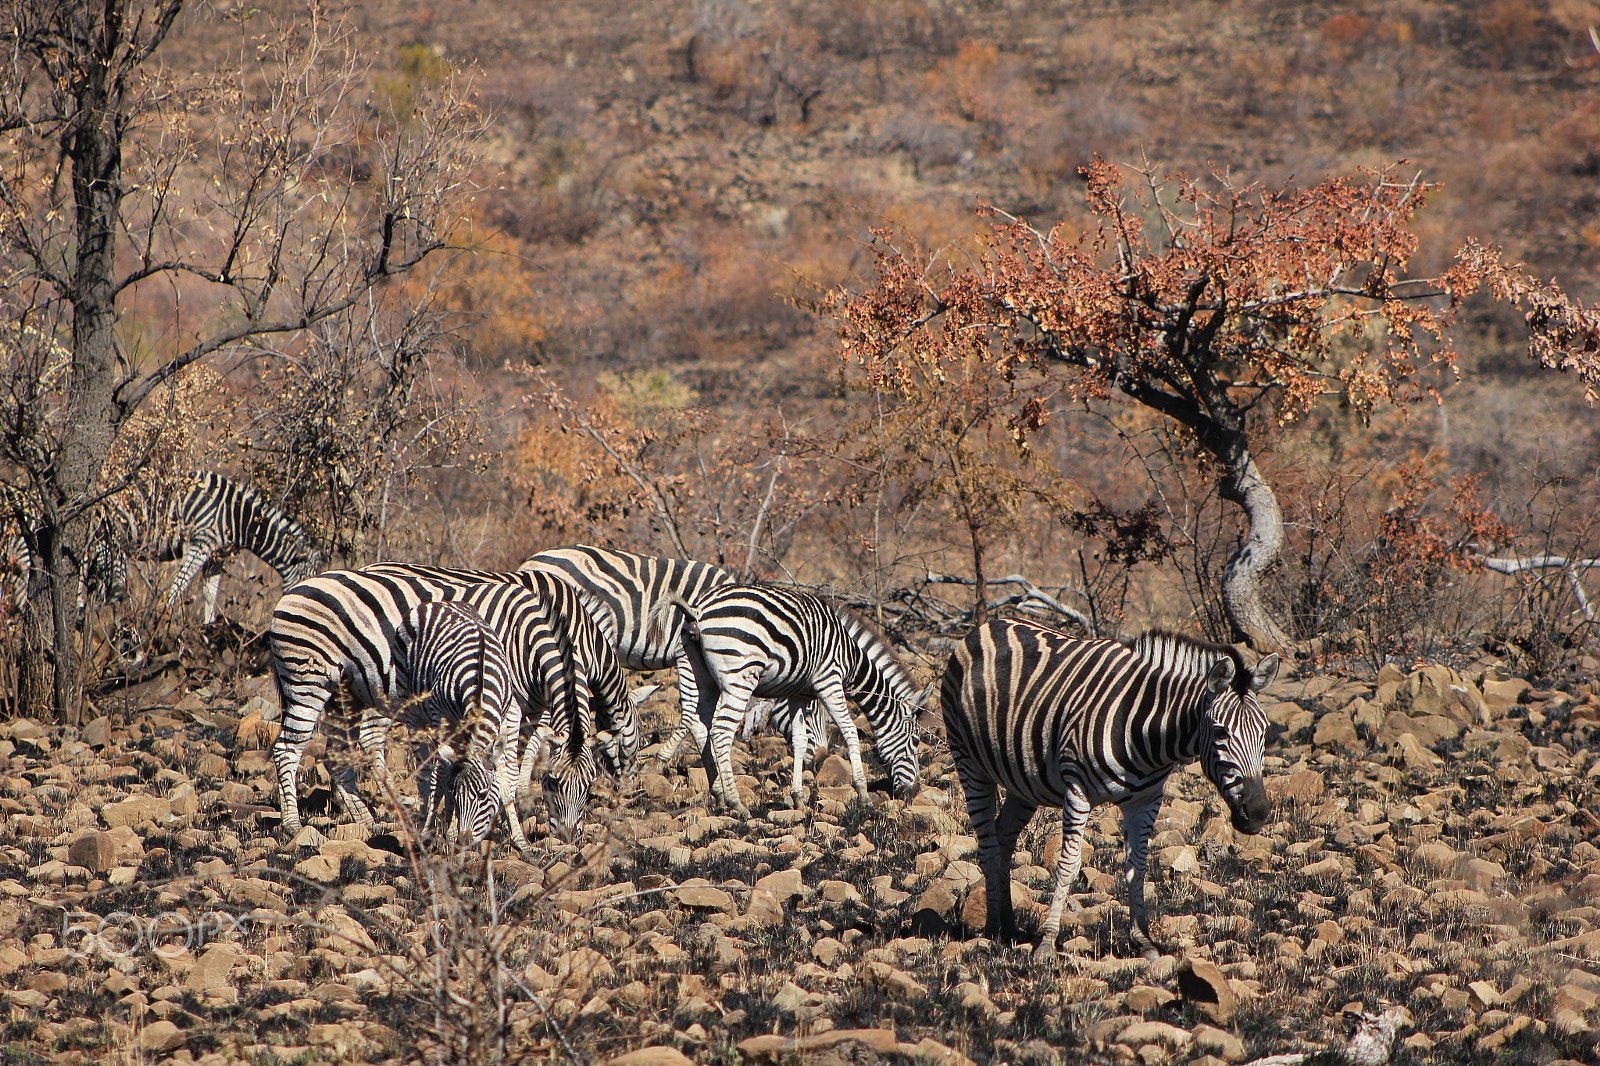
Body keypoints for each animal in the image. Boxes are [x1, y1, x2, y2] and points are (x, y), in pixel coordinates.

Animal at [103, 471, 319, 621]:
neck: (239, 518)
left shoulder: (217, 556)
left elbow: (210, 595)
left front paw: (207, 628)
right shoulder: (201, 544)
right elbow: (178, 586)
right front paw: (162, 623)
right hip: (112, 540)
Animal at [649, 583, 925, 814]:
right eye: (915, 742)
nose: (914, 792)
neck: (851, 657)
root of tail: (698, 609)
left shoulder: (799, 693)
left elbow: (800, 741)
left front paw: (798, 797)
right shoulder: (829, 680)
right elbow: (849, 731)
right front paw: (863, 793)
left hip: (698, 673)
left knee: (702, 724)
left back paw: (718, 794)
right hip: (740, 675)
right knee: (721, 731)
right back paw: (736, 803)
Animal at [940, 618, 1278, 960]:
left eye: (1265, 731)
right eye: (1221, 732)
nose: (1258, 813)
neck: (1145, 731)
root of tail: (989, 623)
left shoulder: (1146, 800)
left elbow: (1138, 867)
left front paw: (1144, 941)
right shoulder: (1076, 790)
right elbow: (1068, 865)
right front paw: (1047, 943)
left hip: (1023, 782)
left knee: (1004, 838)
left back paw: (1008, 926)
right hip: (969, 763)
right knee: (988, 846)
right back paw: (993, 927)